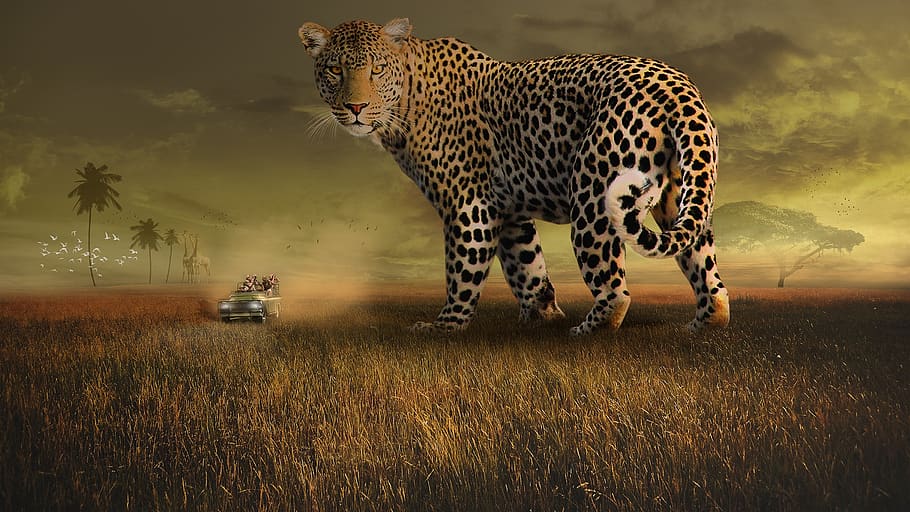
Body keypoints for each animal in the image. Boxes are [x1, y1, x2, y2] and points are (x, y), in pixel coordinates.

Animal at [298, 18, 730, 335]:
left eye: (376, 69)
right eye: (335, 70)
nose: (355, 107)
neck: (406, 99)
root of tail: (679, 88)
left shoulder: (469, 206)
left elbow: (462, 271)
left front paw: (444, 328)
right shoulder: (508, 211)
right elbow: (527, 266)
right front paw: (540, 316)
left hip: (593, 198)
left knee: (615, 291)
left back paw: (584, 333)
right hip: (682, 192)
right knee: (709, 274)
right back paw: (701, 326)